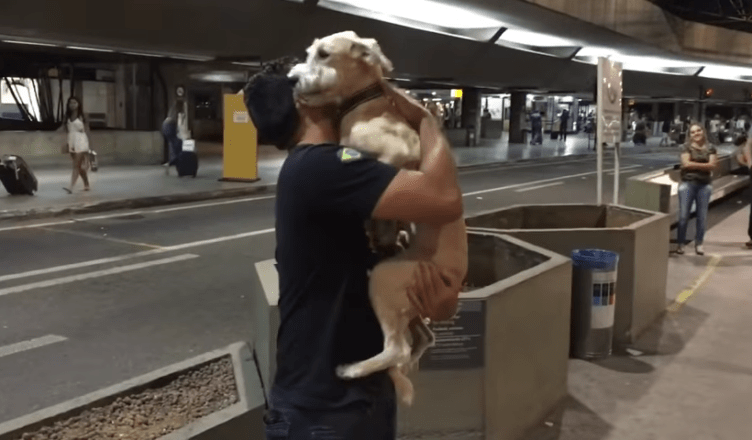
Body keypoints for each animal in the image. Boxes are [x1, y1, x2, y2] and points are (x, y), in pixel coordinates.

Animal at [290, 30, 470, 406]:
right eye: (310, 52)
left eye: (324, 54)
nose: (292, 79)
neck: (363, 107)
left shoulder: (400, 158)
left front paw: (381, 224)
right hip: (406, 305)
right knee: (421, 340)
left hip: (386, 280)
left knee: (398, 348)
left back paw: (355, 369)